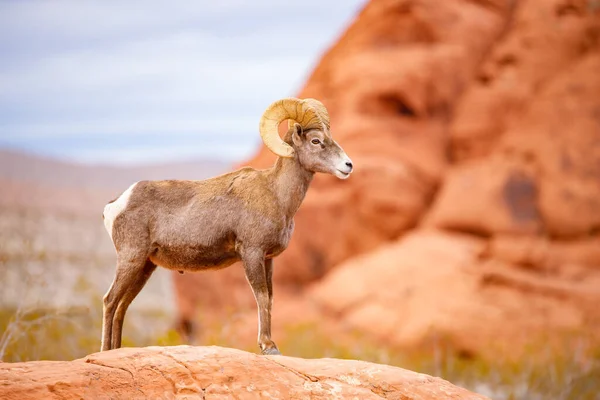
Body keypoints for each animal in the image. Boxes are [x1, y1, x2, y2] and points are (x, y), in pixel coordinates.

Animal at [99, 98, 352, 354]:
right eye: (316, 141)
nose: (348, 165)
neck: (276, 194)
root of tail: (116, 204)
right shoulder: (251, 253)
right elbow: (261, 296)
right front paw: (267, 346)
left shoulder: (268, 259)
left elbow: (270, 298)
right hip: (131, 259)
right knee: (110, 301)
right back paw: (105, 351)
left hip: (145, 267)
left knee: (122, 305)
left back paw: (115, 351)